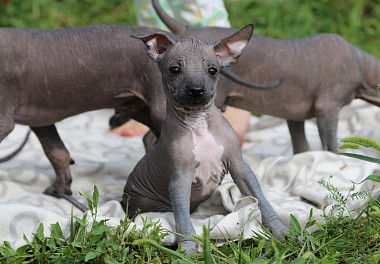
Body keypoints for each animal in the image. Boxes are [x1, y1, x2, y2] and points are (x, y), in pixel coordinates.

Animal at [151, 0, 380, 154]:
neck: (361, 64)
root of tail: (186, 29)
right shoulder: (328, 106)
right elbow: (331, 144)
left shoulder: (294, 112)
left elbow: (301, 145)